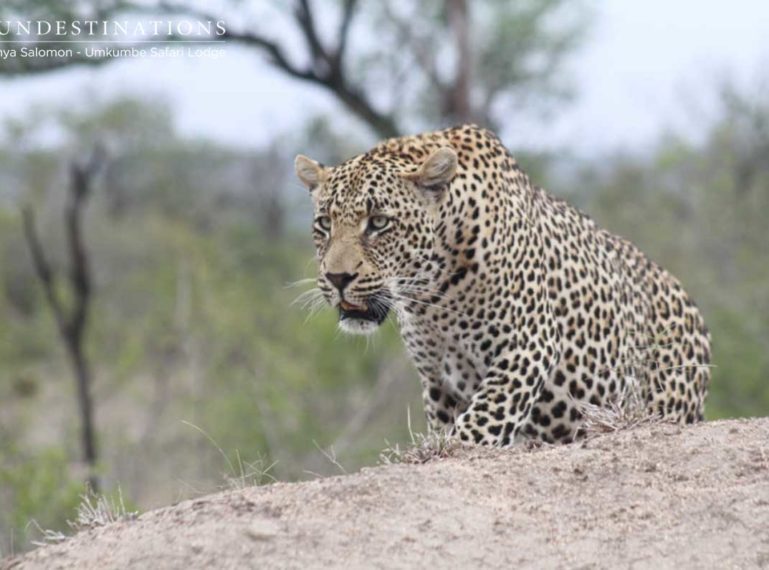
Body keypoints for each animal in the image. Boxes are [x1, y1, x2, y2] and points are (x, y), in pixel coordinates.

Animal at [292, 123, 708, 444]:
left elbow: (480, 423)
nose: (338, 278)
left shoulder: (528, 344)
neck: (430, 293)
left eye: (379, 223)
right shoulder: (437, 381)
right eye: (324, 224)